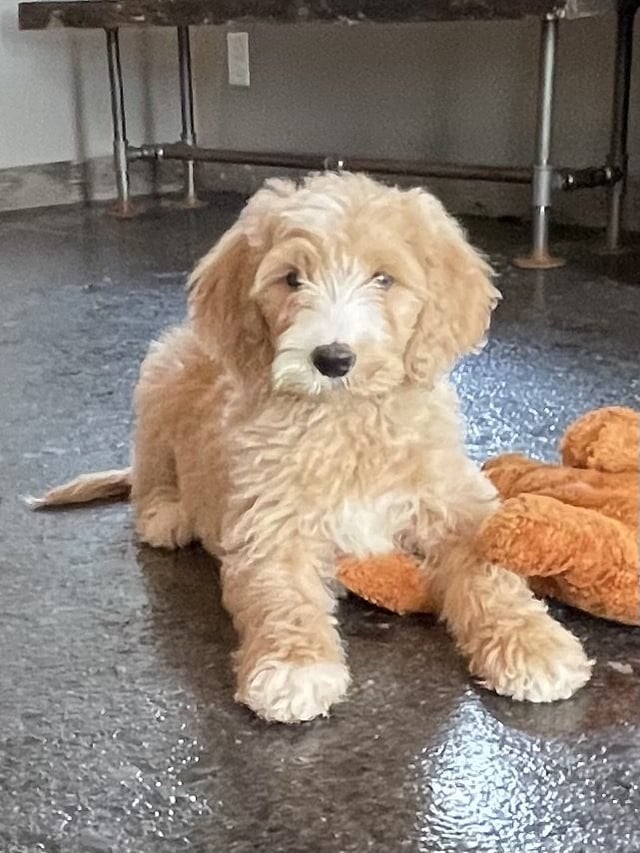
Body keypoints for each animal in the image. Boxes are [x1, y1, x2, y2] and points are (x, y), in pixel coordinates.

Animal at [35, 171, 592, 720]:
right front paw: (293, 668)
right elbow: (282, 595)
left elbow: (490, 569)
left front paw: (534, 645)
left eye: (383, 279)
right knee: (148, 471)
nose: (333, 359)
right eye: (291, 279)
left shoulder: (458, 503)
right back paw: (166, 513)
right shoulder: (269, 523)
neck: (346, 421)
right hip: (160, 375)